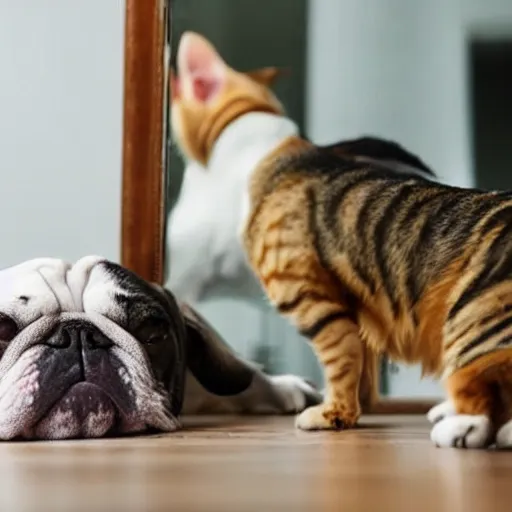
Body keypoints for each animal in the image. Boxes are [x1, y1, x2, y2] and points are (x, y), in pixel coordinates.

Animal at [170, 31, 512, 448]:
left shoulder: (310, 295)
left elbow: (341, 359)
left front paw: (333, 414)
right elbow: (358, 362)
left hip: (470, 317)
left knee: (480, 381)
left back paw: (464, 426)